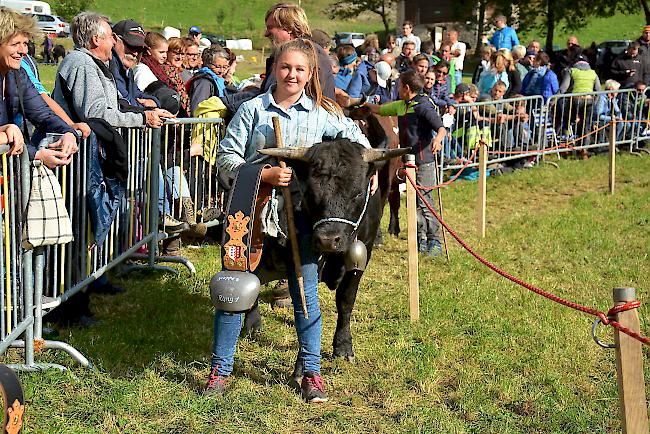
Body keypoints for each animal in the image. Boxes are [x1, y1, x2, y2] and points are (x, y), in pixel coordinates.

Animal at [243, 142, 404, 376]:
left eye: (357, 193)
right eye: (310, 193)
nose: (328, 240)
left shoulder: (363, 254)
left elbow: (345, 300)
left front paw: (343, 347)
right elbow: (307, 309)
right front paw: (304, 365)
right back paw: (252, 324)